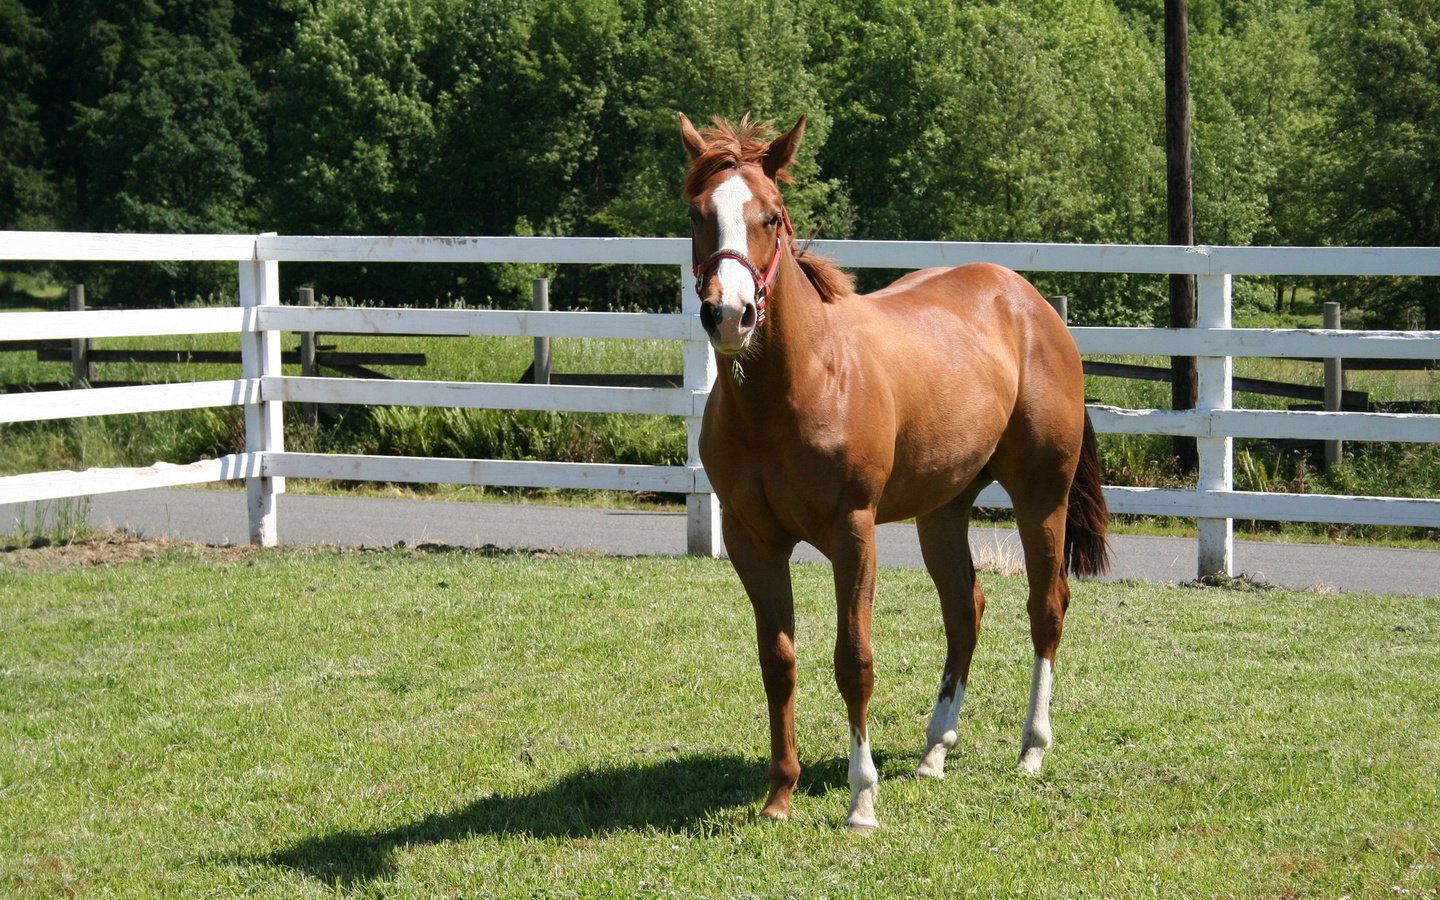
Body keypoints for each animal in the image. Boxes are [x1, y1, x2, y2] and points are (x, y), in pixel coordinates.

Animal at [679, 112, 1105, 829]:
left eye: (771, 214)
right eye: (698, 213)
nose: (729, 313)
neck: (795, 386)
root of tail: (1032, 303)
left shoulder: (854, 533)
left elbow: (853, 662)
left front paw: (862, 800)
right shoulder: (751, 540)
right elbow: (778, 661)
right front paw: (779, 795)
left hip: (1040, 496)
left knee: (1046, 607)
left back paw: (1031, 749)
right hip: (943, 512)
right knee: (965, 611)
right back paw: (935, 750)